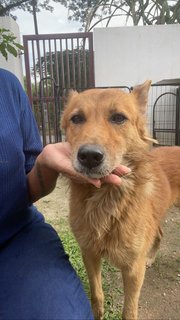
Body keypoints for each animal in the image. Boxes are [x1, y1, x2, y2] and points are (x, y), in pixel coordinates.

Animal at [61, 81, 180, 318]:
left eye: (118, 118)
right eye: (76, 118)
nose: (89, 156)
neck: (105, 199)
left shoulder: (133, 270)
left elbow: (129, 311)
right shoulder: (89, 254)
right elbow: (97, 296)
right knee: (159, 234)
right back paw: (151, 258)